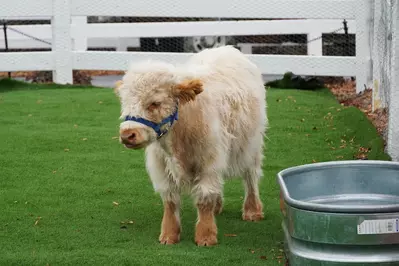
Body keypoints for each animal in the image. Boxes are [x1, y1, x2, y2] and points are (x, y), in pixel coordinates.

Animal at [115, 44, 268, 246]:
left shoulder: (208, 161)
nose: (127, 135)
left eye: (155, 103)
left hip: (251, 145)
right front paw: (169, 234)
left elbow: (204, 196)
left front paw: (206, 235)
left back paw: (252, 210)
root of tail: (226, 48)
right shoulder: (161, 166)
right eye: (125, 103)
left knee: (251, 176)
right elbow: (170, 200)